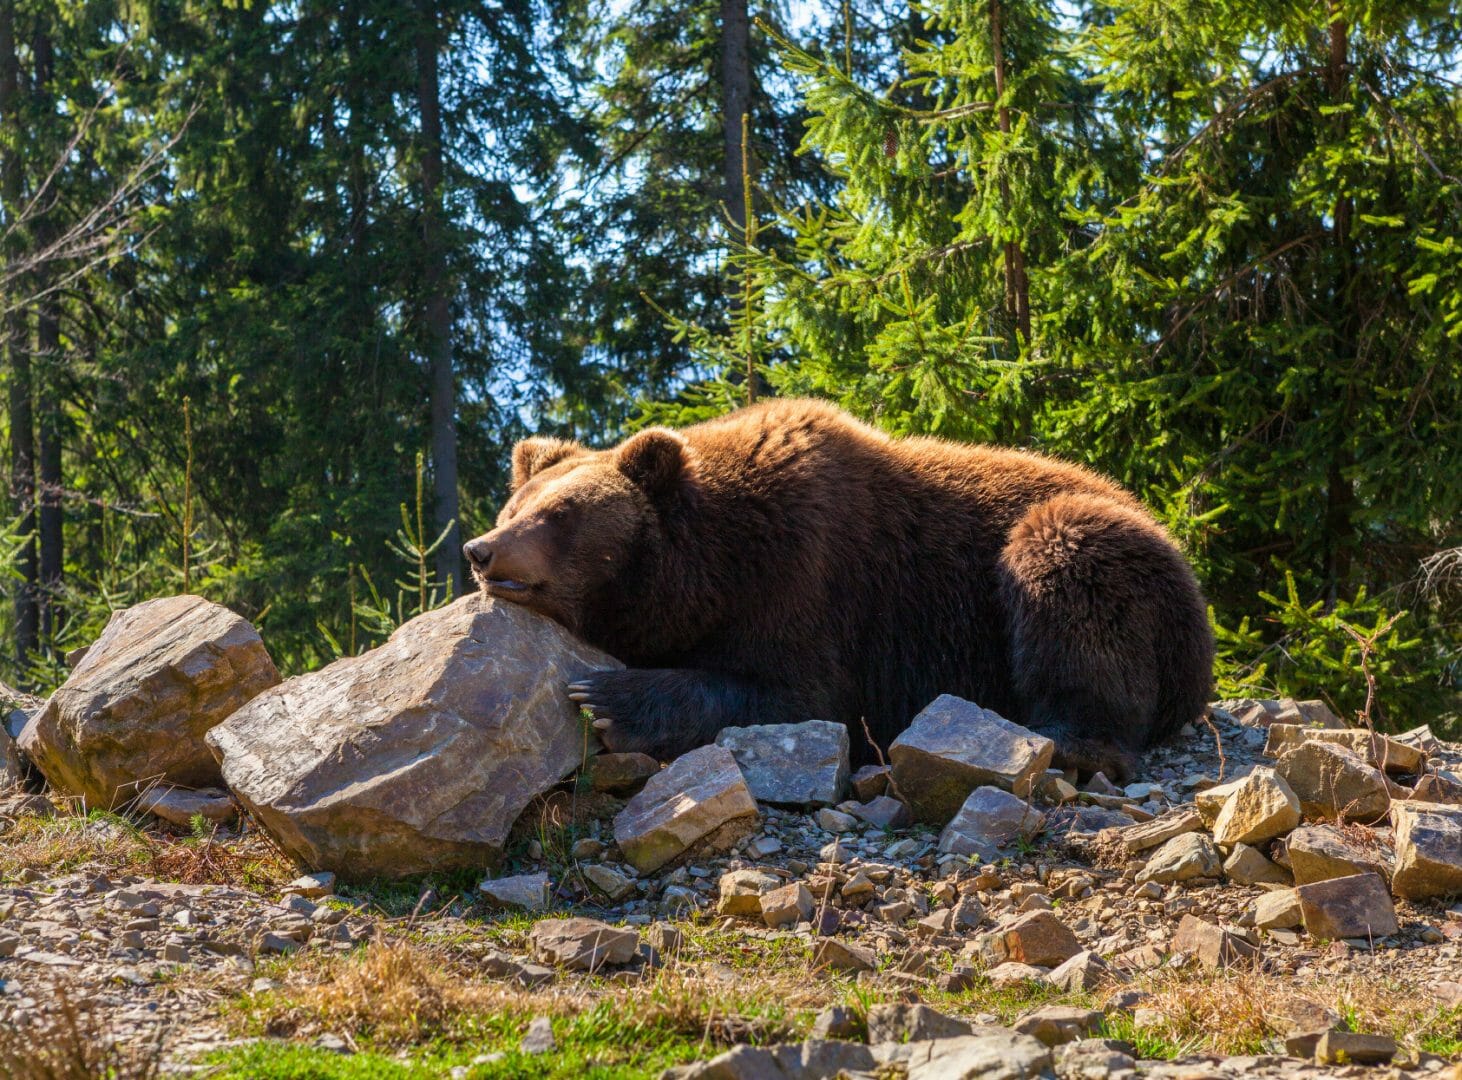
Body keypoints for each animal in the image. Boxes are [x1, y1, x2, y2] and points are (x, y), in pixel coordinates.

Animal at [461, 397, 1216, 777]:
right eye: (512, 506)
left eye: (561, 514)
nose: (480, 551)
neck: (713, 567)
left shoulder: (813, 577)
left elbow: (801, 696)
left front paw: (609, 699)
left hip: (1100, 560)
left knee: (1067, 570)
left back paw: (1069, 737)